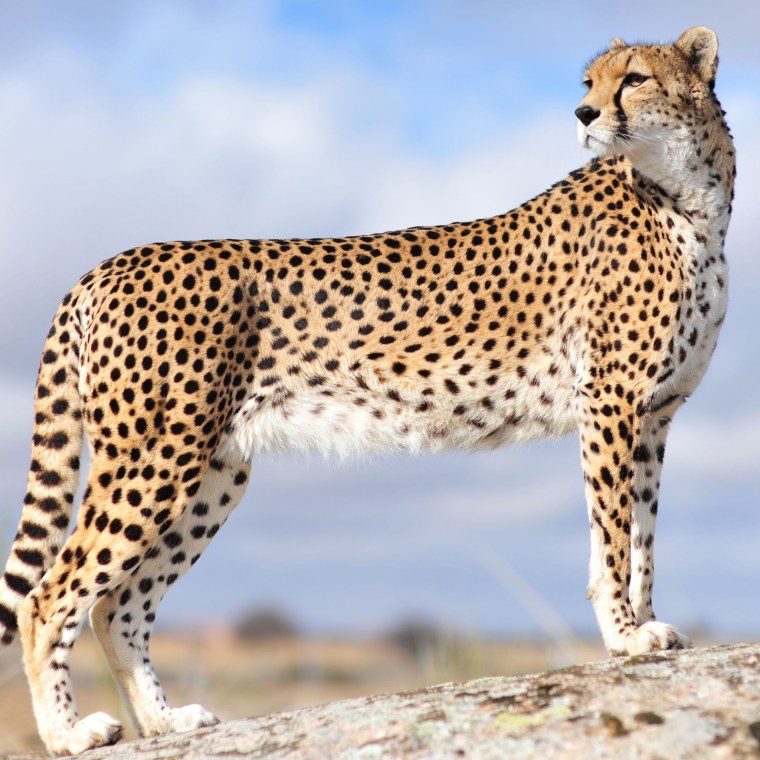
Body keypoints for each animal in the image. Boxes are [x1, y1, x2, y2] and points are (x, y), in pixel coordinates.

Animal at [0, 27, 734, 754]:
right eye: (589, 84)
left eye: (633, 79)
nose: (582, 115)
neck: (688, 196)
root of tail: (107, 266)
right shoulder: (611, 404)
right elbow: (612, 534)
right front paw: (624, 637)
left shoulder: (655, 415)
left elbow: (642, 536)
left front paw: (648, 624)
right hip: (155, 456)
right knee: (49, 597)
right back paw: (67, 733)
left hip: (213, 471)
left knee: (116, 603)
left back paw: (162, 721)